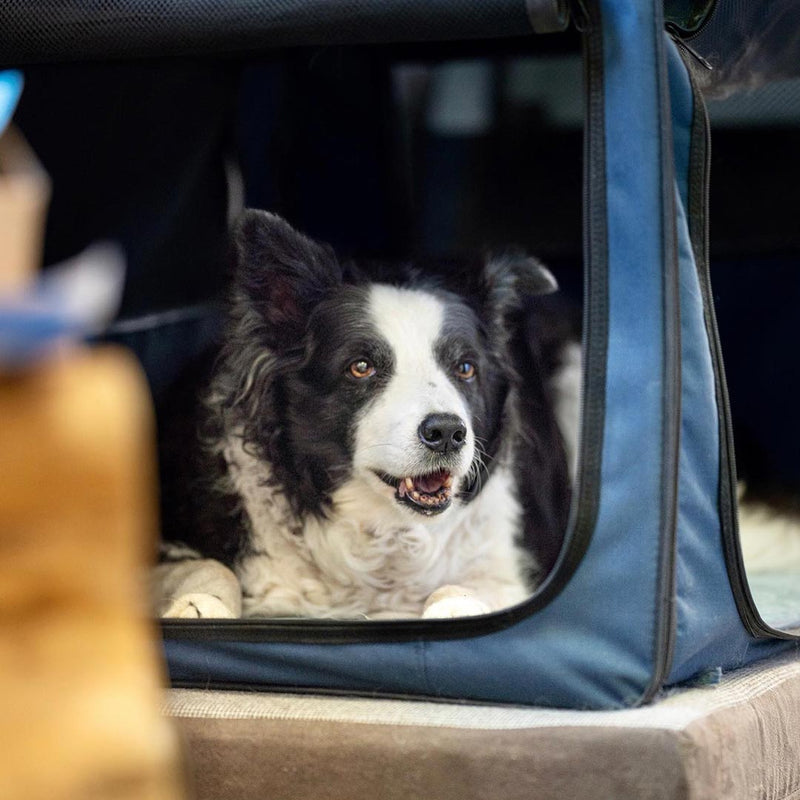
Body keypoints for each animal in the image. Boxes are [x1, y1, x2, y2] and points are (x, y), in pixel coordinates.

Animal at [153, 211, 580, 620]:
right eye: (361, 367)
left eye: (465, 368)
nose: (447, 433)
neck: (386, 534)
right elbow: (211, 567)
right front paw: (198, 604)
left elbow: (466, 585)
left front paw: (455, 605)